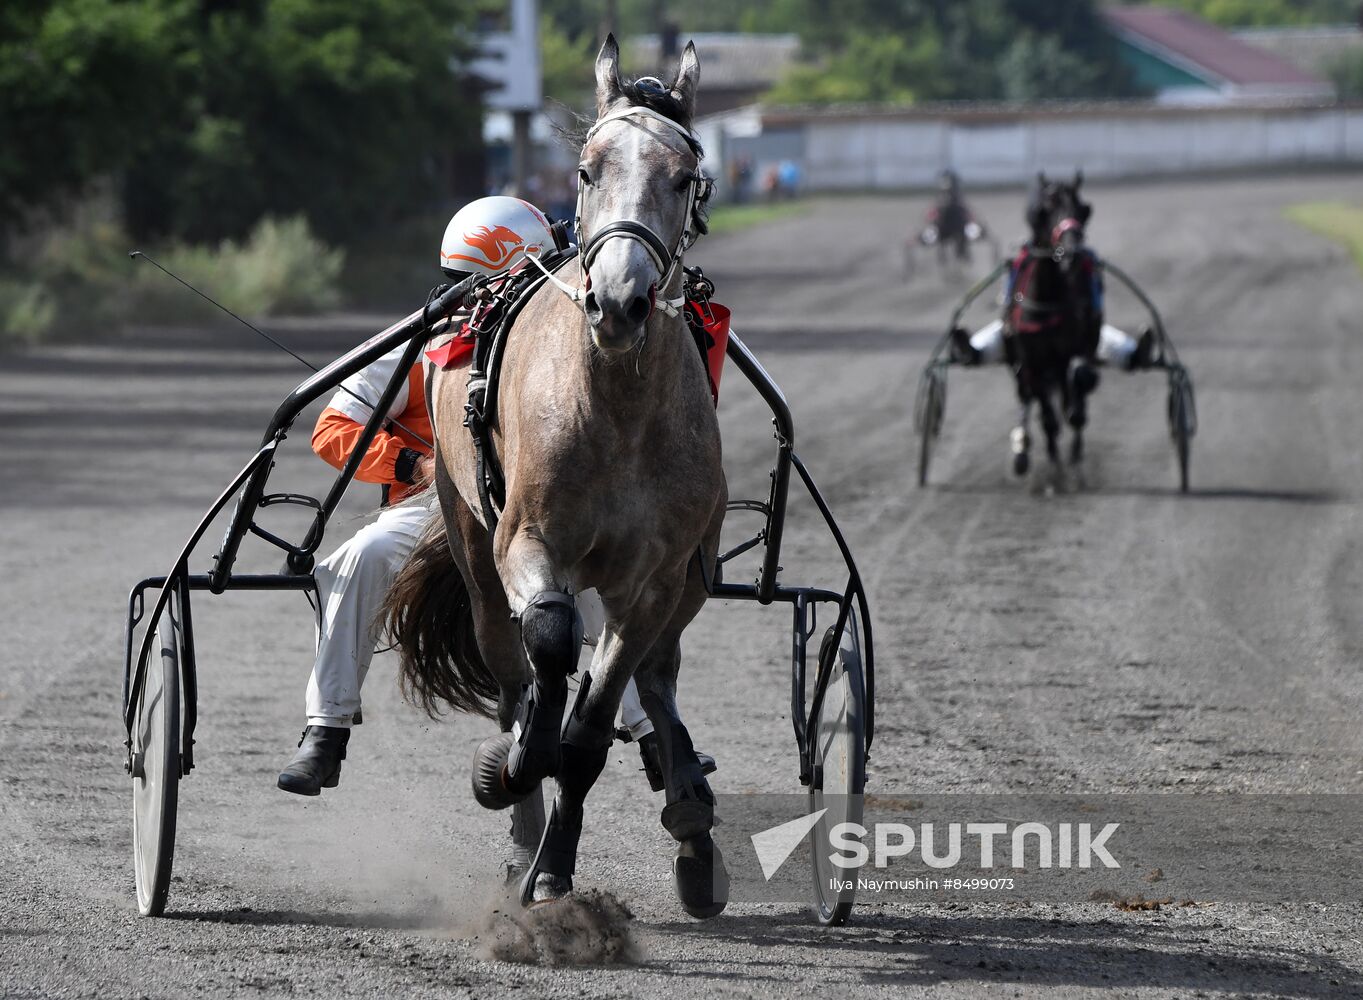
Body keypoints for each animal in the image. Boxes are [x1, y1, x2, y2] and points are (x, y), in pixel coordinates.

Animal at [378, 37, 730, 915]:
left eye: (684, 175)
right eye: (585, 168)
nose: (620, 300)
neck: (614, 406)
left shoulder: (654, 581)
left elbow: (594, 724)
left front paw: (558, 864)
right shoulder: (526, 542)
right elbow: (546, 641)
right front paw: (511, 770)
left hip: (689, 574)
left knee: (658, 678)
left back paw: (685, 807)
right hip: (469, 535)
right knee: (512, 659)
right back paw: (519, 812)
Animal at [1008, 173, 1101, 482]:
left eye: (1082, 210)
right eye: (1045, 211)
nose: (1072, 252)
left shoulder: (1075, 347)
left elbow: (1077, 396)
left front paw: (1074, 459)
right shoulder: (1032, 361)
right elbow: (1048, 419)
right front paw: (1055, 466)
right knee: (1033, 398)